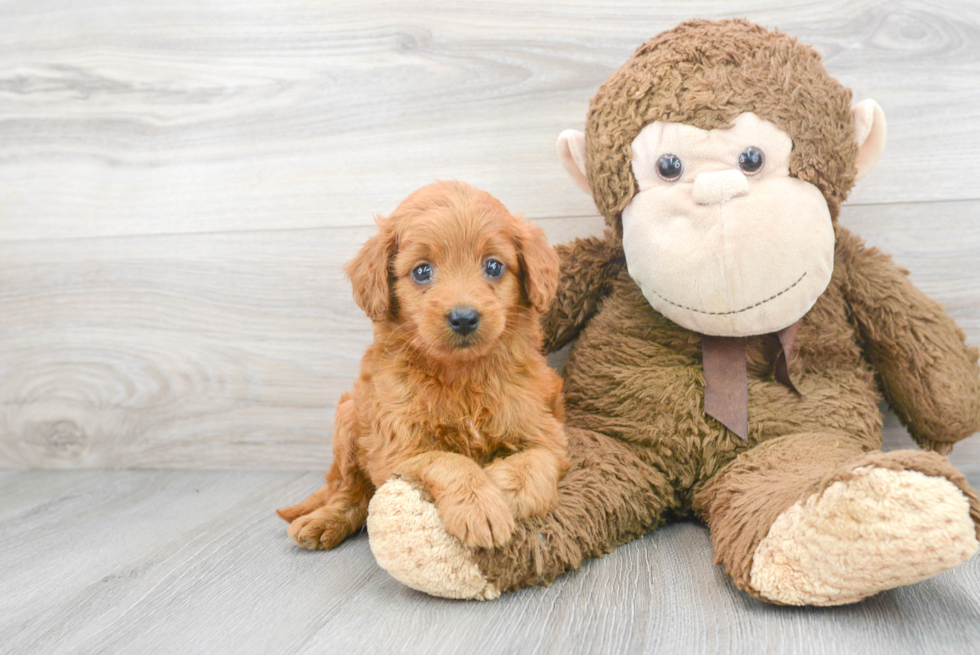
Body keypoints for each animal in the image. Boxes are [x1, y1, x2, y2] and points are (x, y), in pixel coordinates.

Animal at [276, 181, 568, 552]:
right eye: (422, 271)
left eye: (494, 266)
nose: (464, 317)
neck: (461, 374)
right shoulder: (399, 447)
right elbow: (448, 461)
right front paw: (481, 504)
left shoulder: (545, 432)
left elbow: (533, 463)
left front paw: (502, 492)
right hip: (348, 418)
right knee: (350, 490)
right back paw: (325, 520)